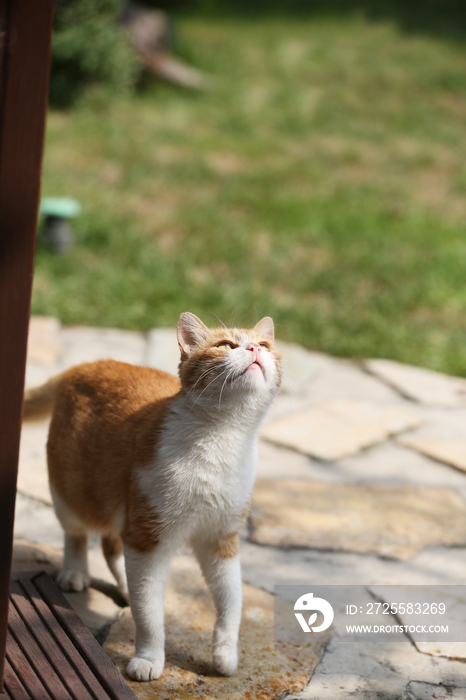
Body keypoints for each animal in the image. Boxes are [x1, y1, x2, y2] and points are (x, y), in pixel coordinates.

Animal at [22, 314, 280, 680]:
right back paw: (75, 571)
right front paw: (148, 658)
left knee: (111, 546)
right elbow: (149, 614)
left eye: (266, 346)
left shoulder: (221, 540)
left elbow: (232, 600)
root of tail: (86, 365)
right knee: (77, 534)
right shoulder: (147, 538)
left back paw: (123, 587)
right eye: (226, 345)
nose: (255, 349)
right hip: (72, 492)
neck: (222, 439)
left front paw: (225, 654)